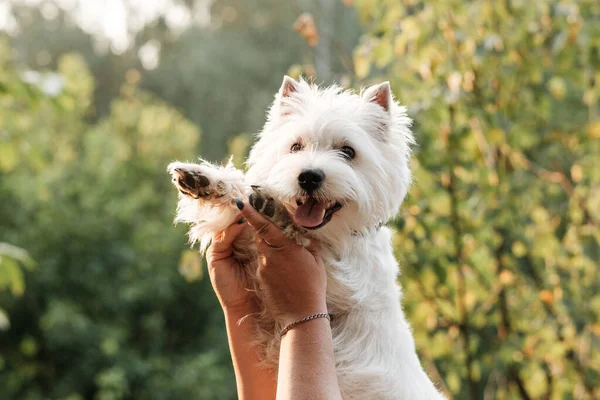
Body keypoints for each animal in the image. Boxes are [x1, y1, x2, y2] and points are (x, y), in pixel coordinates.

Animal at [169, 76, 446, 398]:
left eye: (348, 152)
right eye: (295, 146)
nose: (309, 176)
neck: (333, 234)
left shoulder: (341, 275)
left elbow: (287, 229)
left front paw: (271, 207)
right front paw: (205, 180)